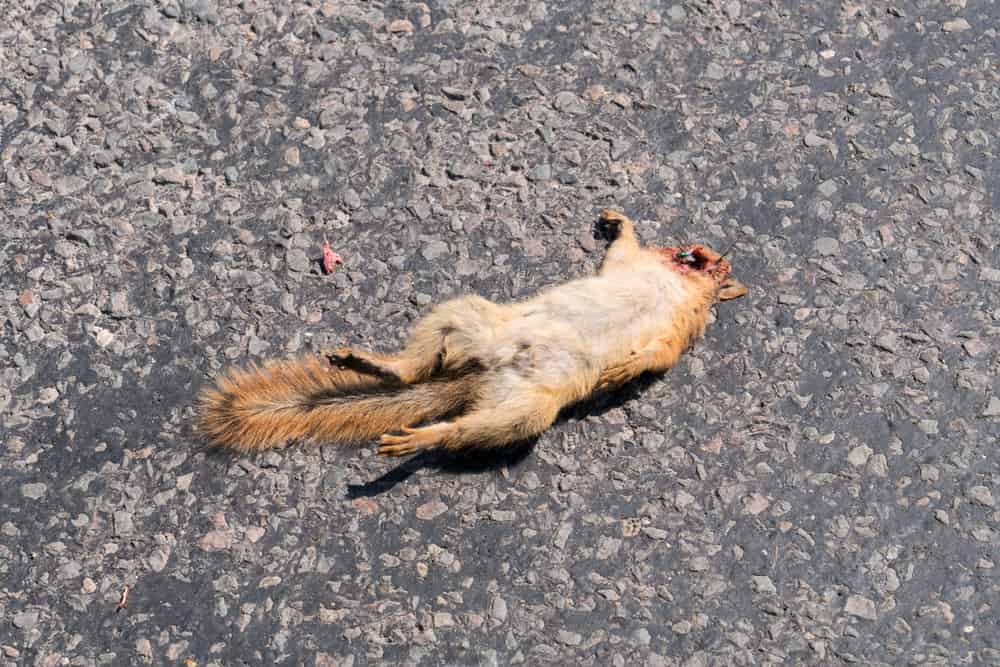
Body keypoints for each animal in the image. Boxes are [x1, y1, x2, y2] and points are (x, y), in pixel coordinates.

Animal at [197, 211, 744, 456]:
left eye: (721, 271)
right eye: (703, 254)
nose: (703, 252)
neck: (673, 281)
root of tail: (480, 377)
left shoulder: (677, 331)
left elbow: (660, 355)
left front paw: (625, 368)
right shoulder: (629, 266)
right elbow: (622, 249)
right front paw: (618, 220)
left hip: (526, 412)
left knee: (465, 429)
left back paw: (420, 437)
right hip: (470, 318)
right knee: (413, 366)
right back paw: (374, 365)